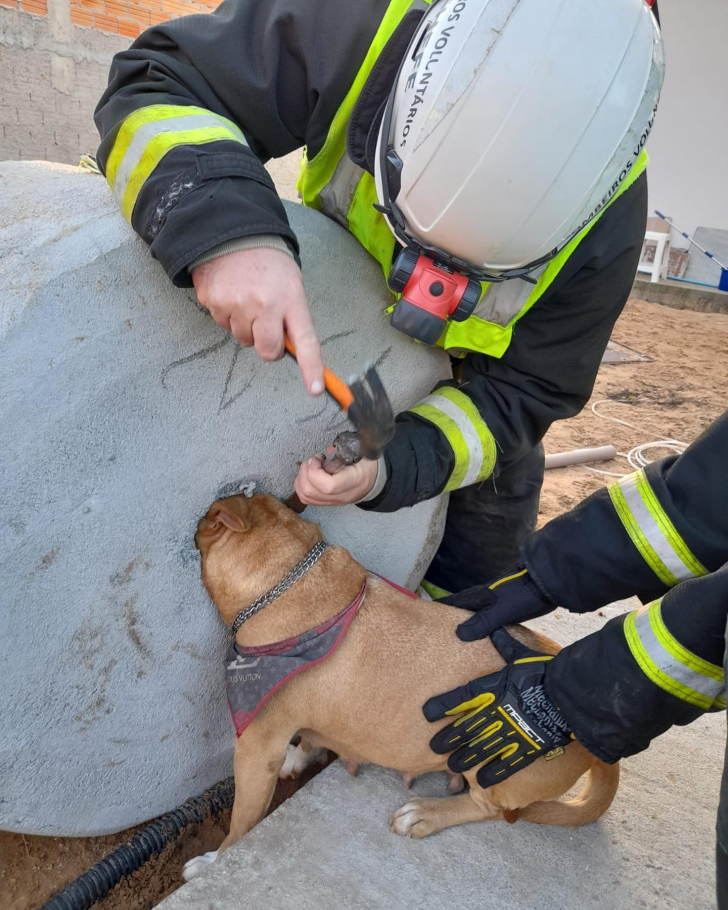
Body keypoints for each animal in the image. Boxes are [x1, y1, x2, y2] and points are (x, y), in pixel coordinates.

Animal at [183, 496, 620, 880]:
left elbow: (240, 824)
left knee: (491, 808)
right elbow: (308, 739)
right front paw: (301, 757)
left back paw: (426, 812)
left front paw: (212, 863)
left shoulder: (256, 747)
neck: (290, 582)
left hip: (493, 759)